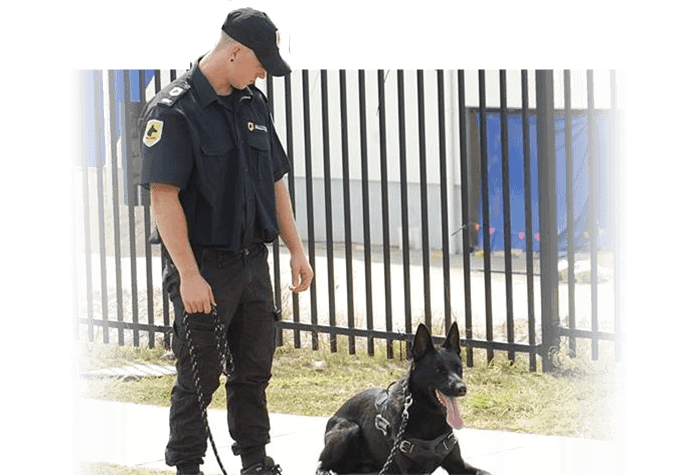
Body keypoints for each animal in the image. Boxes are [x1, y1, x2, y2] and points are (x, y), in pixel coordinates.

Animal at [316, 324, 488, 475]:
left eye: (458, 368)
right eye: (439, 370)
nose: (462, 388)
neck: (428, 415)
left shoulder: (458, 465)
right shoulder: (410, 471)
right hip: (349, 429)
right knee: (321, 464)